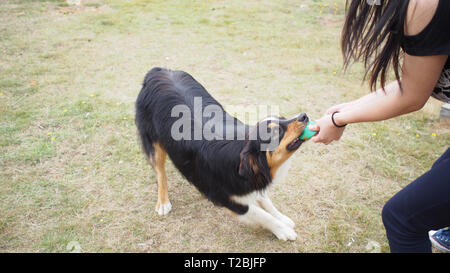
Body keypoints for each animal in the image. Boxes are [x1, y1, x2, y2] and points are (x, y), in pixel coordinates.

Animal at [134, 66, 310, 240]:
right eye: (275, 132)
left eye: (283, 117)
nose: (304, 115)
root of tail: (158, 70)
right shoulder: (225, 196)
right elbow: (260, 214)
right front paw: (282, 230)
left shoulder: (252, 180)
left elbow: (265, 201)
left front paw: (282, 218)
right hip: (153, 141)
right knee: (160, 172)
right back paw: (163, 202)